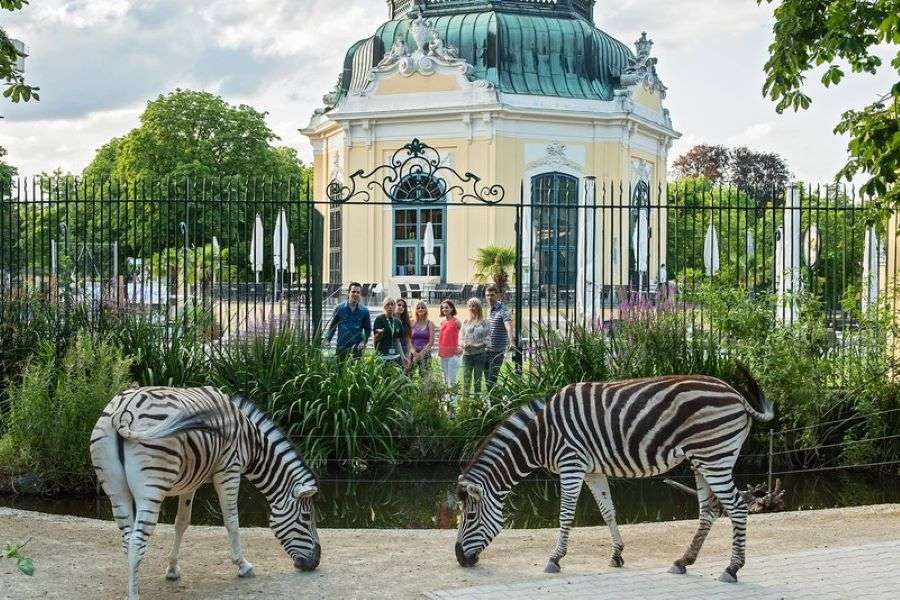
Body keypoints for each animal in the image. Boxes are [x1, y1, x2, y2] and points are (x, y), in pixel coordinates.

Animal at [89, 386, 322, 596]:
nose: (315, 562)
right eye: (306, 517)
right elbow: (232, 521)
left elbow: (181, 524)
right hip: (152, 489)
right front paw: (243, 565)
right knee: (137, 542)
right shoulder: (229, 471)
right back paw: (134, 594)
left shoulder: (190, 482)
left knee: (128, 541)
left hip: (116, 491)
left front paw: (172, 569)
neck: (252, 441)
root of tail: (123, 410)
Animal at [458, 368, 772, 584]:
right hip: (704, 460)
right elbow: (607, 511)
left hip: (714, 457)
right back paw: (683, 561)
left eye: (470, 516)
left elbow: (565, 515)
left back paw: (732, 568)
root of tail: (737, 396)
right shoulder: (592, 470)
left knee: (737, 508)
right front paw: (617, 554)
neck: (541, 436)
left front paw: (555, 558)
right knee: (709, 512)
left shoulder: (571, 465)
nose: (460, 559)